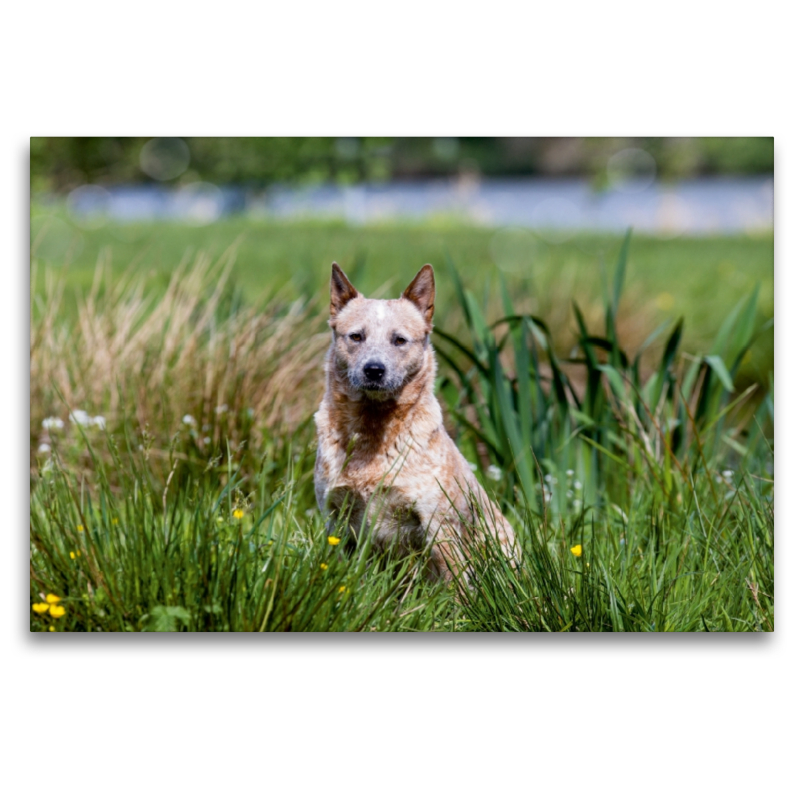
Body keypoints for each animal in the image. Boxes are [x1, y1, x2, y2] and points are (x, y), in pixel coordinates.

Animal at [312, 262, 520, 580]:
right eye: (356, 336)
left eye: (399, 340)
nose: (374, 370)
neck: (374, 432)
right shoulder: (336, 519)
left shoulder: (437, 523)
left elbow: (455, 583)